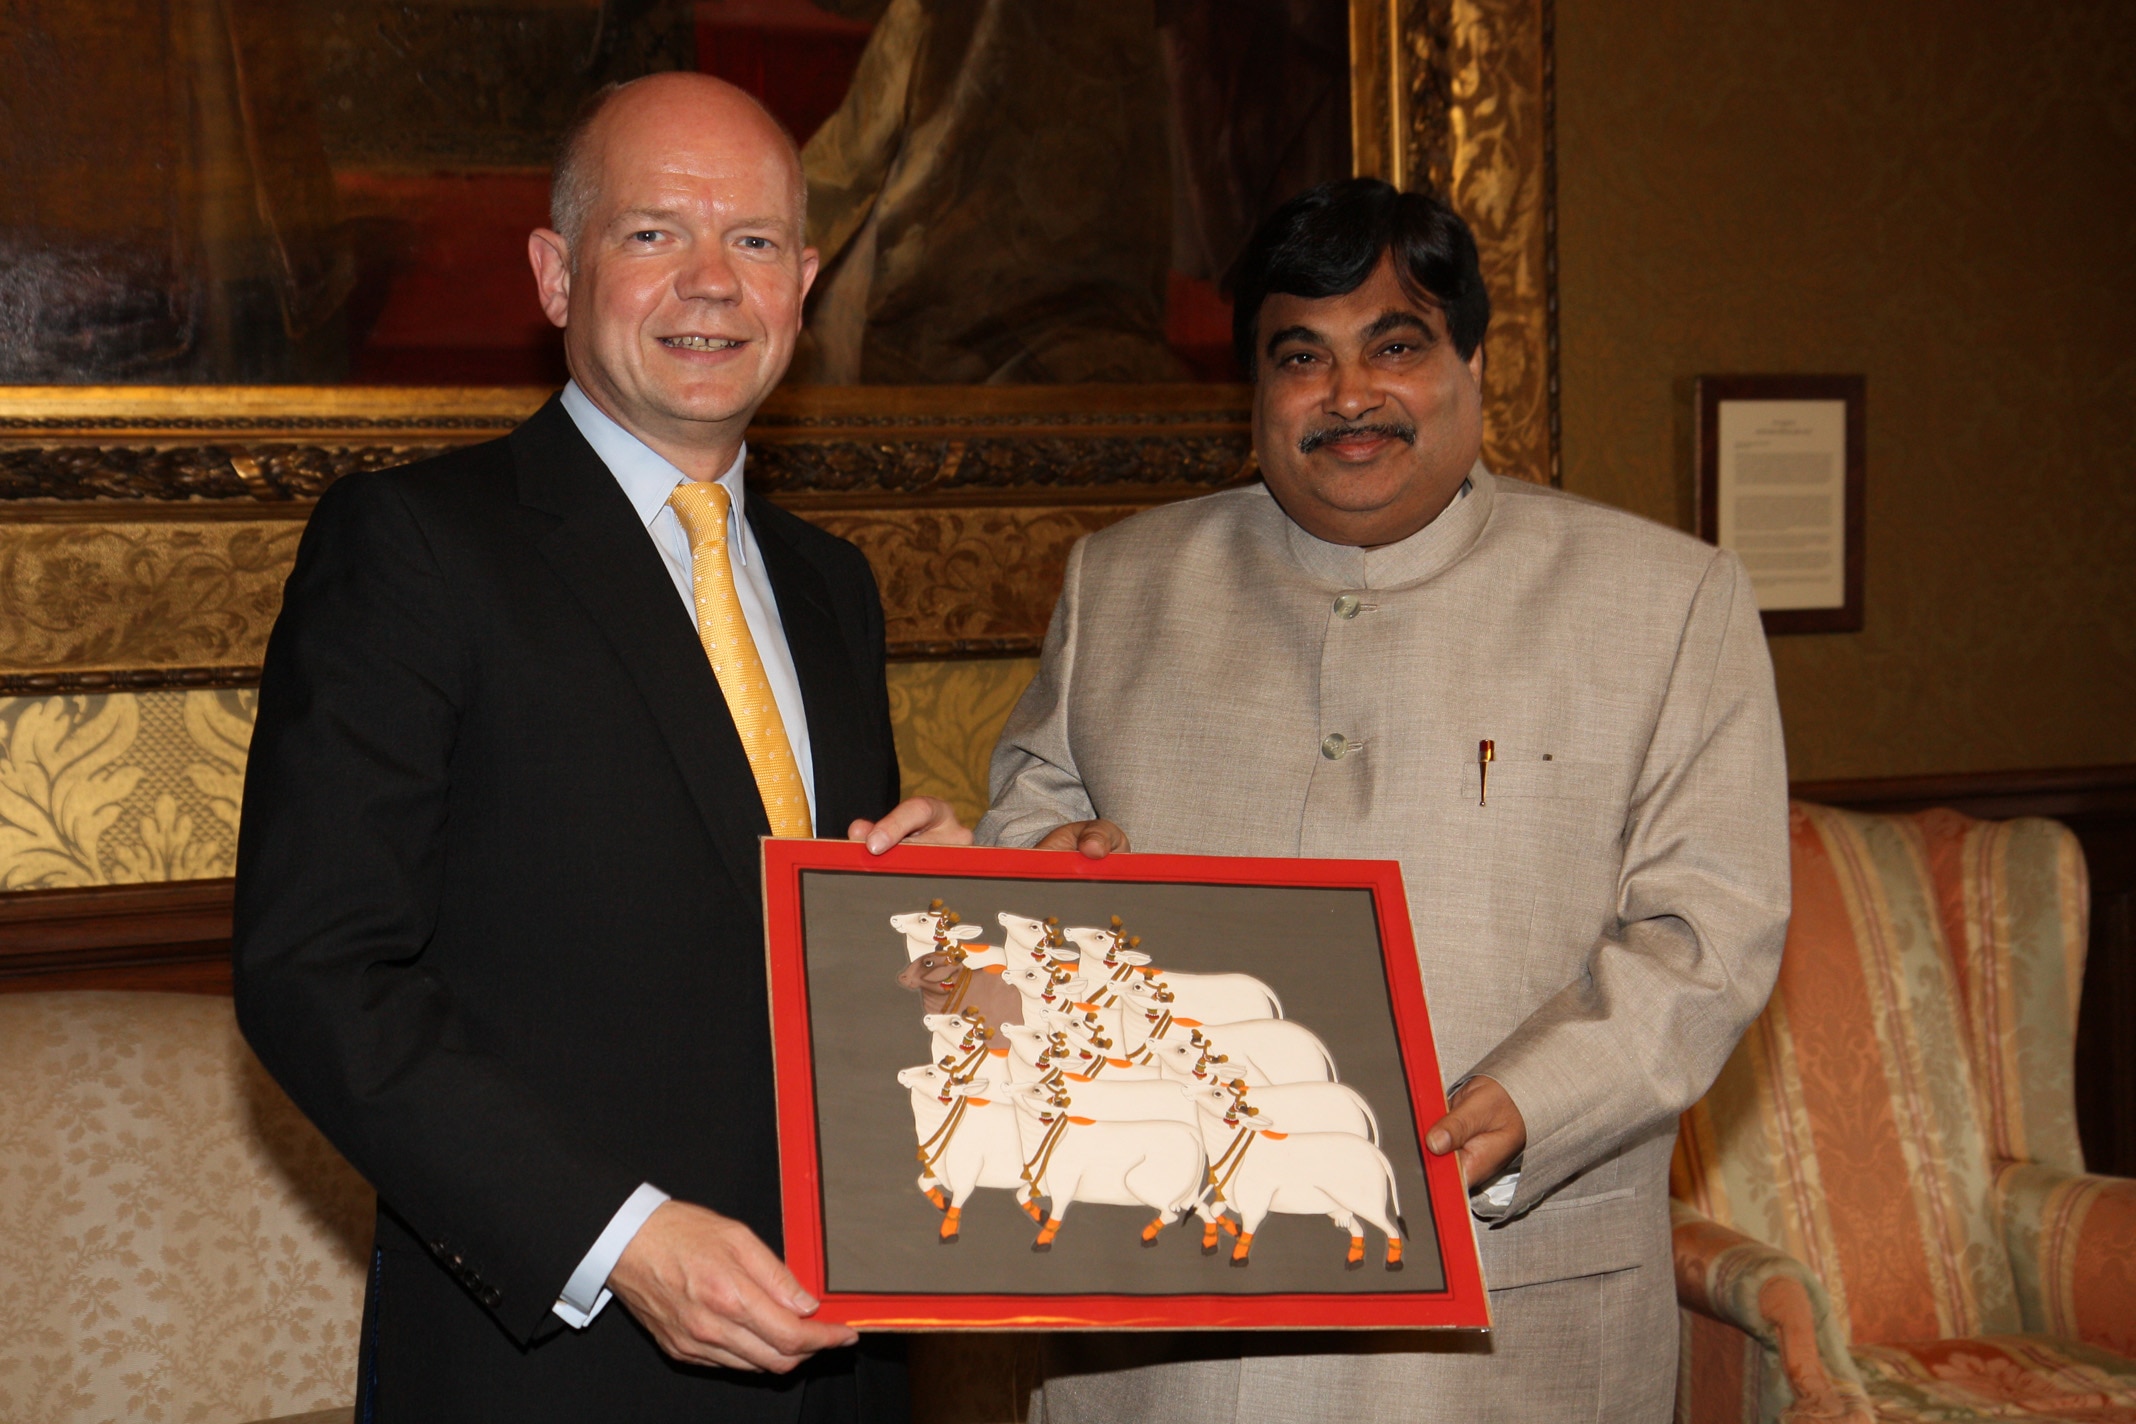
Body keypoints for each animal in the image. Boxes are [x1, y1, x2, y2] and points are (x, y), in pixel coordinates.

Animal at [897, 1067, 1038, 1238]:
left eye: (930, 1073)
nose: (902, 1073)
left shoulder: (964, 1179)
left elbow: (957, 1202)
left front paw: (948, 1233)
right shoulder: (942, 1174)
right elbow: (922, 1183)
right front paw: (943, 1204)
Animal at [1003, 1084, 1213, 1255]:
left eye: (1036, 1089)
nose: (1006, 1085)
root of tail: (1192, 1132)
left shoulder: (1064, 1186)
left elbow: (1056, 1216)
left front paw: (1042, 1242)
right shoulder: (1044, 1183)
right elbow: (1021, 1196)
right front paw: (1040, 1215)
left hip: (1141, 1183)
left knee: (1170, 1214)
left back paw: (1147, 1236)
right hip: (1188, 1194)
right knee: (1205, 1211)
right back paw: (1209, 1245)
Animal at [1187, 1080, 1401, 1272]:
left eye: (1217, 1093)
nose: (1188, 1088)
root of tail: (1376, 1153)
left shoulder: (1254, 1204)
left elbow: (1248, 1231)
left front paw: (1238, 1258)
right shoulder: (1228, 1197)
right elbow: (1215, 1211)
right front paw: (1231, 1231)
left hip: (1367, 1202)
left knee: (1391, 1229)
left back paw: (1393, 1263)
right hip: (1336, 1205)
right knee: (1358, 1229)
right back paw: (1354, 1260)